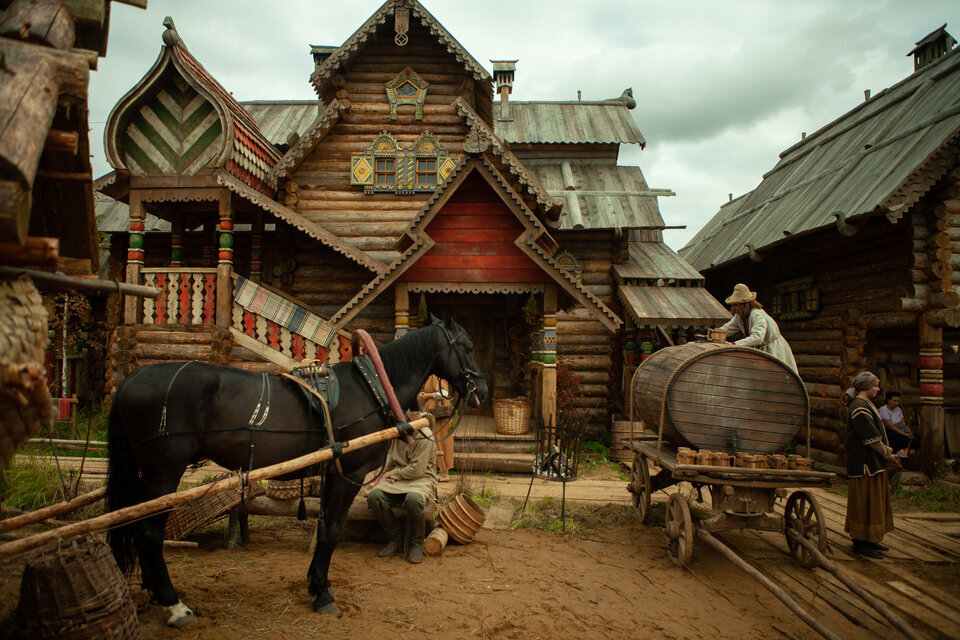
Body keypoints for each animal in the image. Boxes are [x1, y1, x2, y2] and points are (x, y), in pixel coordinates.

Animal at [107, 318, 488, 628]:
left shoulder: (332, 471)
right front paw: (323, 594)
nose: (483, 390)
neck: (372, 386)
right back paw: (173, 604)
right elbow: (331, 531)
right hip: (163, 472)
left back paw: (155, 592)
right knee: (148, 532)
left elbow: (323, 527)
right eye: (467, 347)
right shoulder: (349, 472)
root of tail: (132, 378)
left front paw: (318, 583)